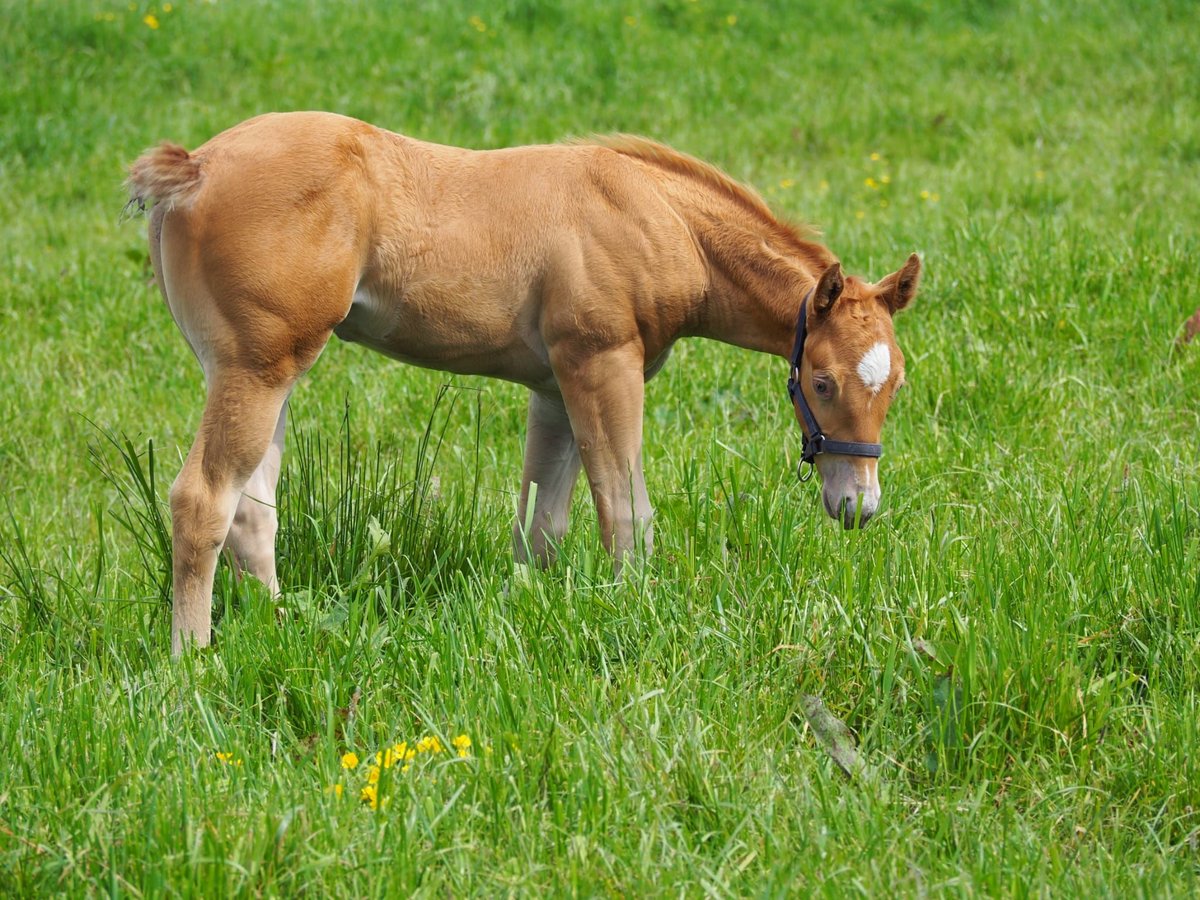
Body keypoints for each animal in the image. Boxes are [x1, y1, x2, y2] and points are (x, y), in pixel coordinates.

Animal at [129, 112, 916, 657]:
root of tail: (196, 166)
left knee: (252, 510)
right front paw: (637, 613)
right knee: (203, 500)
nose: (859, 506)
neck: (657, 216)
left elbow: (542, 523)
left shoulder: (555, 388)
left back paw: (278, 627)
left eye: (896, 385)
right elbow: (625, 511)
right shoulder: (601, 364)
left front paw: (525, 612)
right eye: (822, 381)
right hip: (256, 369)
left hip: (268, 371)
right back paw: (193, 660)